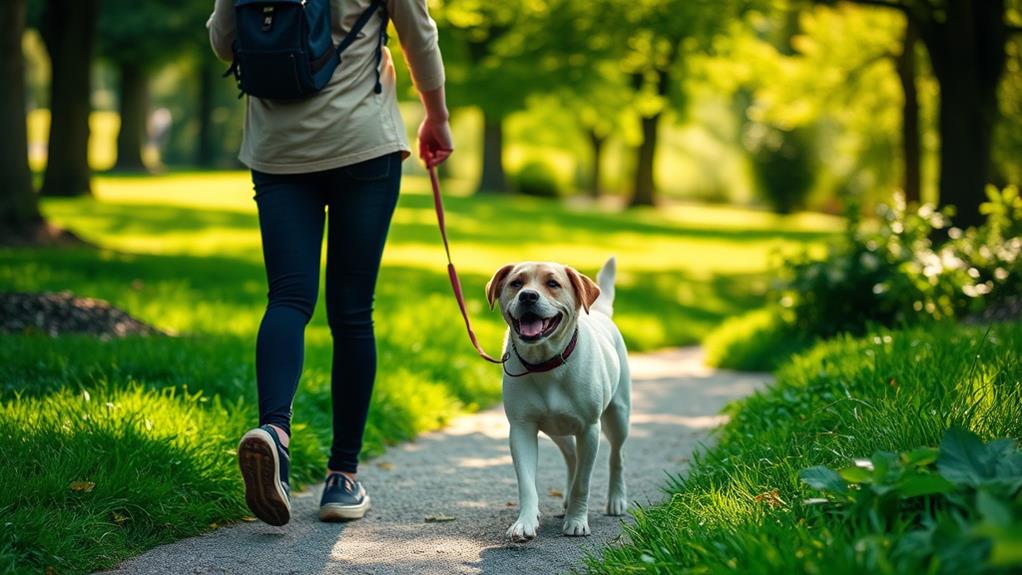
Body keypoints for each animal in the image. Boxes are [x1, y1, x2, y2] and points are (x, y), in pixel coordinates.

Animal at [486, 258, 629, 543]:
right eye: (516, 283)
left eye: (553, 283)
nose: (528, 296)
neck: (545, 363)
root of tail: (602, 314)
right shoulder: (521, 429)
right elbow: (527, 483)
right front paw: (525, 523)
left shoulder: (590, 429)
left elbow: (583, 483)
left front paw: (577, 521)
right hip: (556, 429)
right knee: (572, 456)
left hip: (618, 415)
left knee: (616, 456)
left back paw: (616, 499)